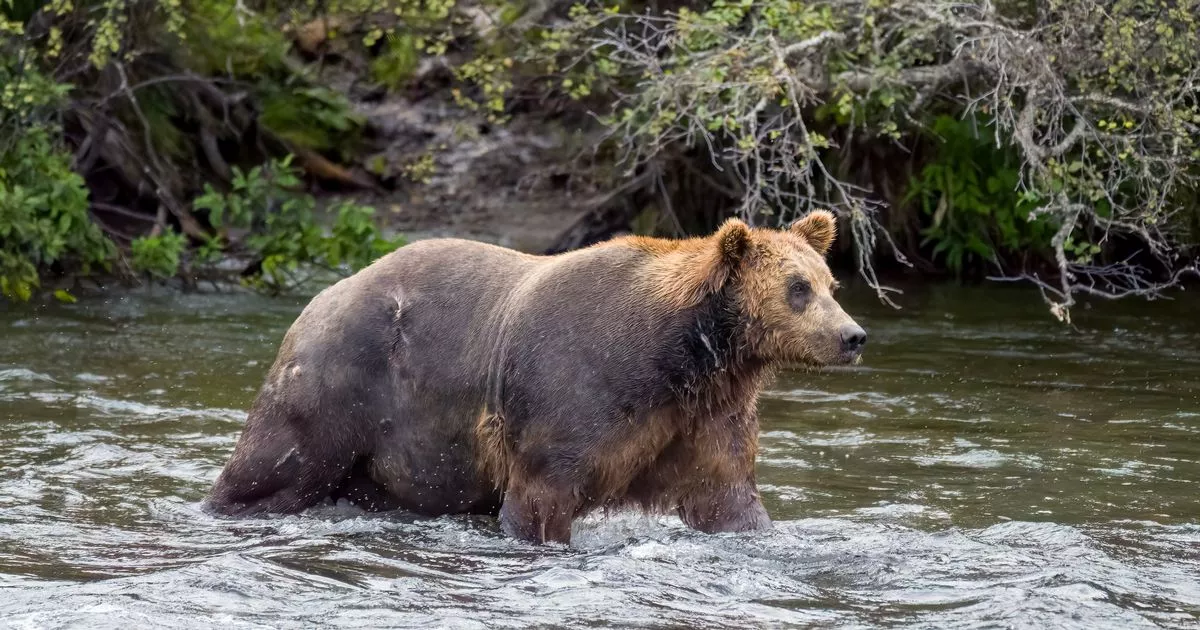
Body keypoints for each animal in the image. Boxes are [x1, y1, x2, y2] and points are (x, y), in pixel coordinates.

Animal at [204, 210, 866, 545]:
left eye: (829, 282)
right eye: (798, 289)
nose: (853, 336)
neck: (683, 356)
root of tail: (321, 295)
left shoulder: (701, 417)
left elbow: (727, 497)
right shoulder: (575, 394)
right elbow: (542, 496)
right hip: (339, 381)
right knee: (275, 458)